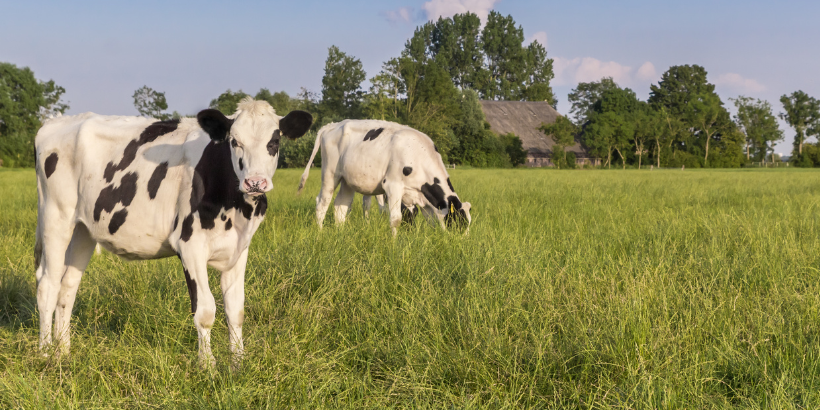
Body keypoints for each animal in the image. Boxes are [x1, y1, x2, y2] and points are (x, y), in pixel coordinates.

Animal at [33, 98, 312, 367]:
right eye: (234, 141)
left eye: (274, 142)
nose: (255, 182)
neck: (236, 206)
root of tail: (55, 123)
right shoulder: (190, 245)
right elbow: (205, 311)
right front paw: (208, 367)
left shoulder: (239, 248)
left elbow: (236, 311)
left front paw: (238, 364)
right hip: (55, 217)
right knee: (47, 286)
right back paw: (45, 353)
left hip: (83, 229)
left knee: (67, 288)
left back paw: (63, 352)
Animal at [296, 120, 471, 235]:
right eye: (459, 221)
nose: (461, 243)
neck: (419, 155)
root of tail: (332, 125)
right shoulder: (392, 186)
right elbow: (395, 219)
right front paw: (395, 244)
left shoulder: (421, 197)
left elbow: (427, 220)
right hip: (330, 174)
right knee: (322, 202)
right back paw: (320, 232)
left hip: (348, 181)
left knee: (341, 205)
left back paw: (341, 233)